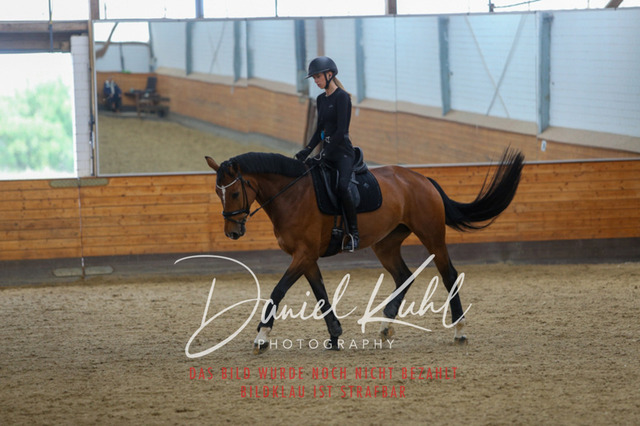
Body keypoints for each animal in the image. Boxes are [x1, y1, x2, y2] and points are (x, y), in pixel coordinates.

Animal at [205, 148, 524, 354]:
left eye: (234, 192)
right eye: (218, 193)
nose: (232, 232)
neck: (293, 194)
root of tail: (422, 180)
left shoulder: (303, 255)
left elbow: (278, 291)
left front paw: (262, 337)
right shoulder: (307, 257)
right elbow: (321, 294)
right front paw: (335, 336)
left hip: (432, 236)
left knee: (449, 275)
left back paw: (459, 330)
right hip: (386, 243)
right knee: (404, 276)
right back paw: (385, 326)